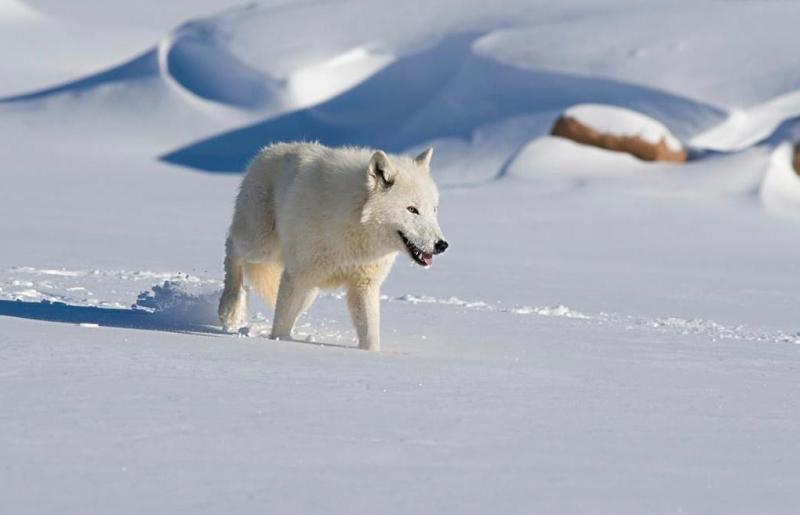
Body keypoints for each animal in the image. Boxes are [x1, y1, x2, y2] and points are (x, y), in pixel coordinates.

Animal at [216, 143, 446, 352]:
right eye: (412, 209)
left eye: (434, 210)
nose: (442, 245)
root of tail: (265, 151)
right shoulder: (296, 277)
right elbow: (280, 328)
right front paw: (280, 343)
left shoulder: (363, 286)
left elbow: (370, 337)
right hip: (261, 247)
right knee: (232, 247)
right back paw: (229, 309)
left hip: (308, 291)